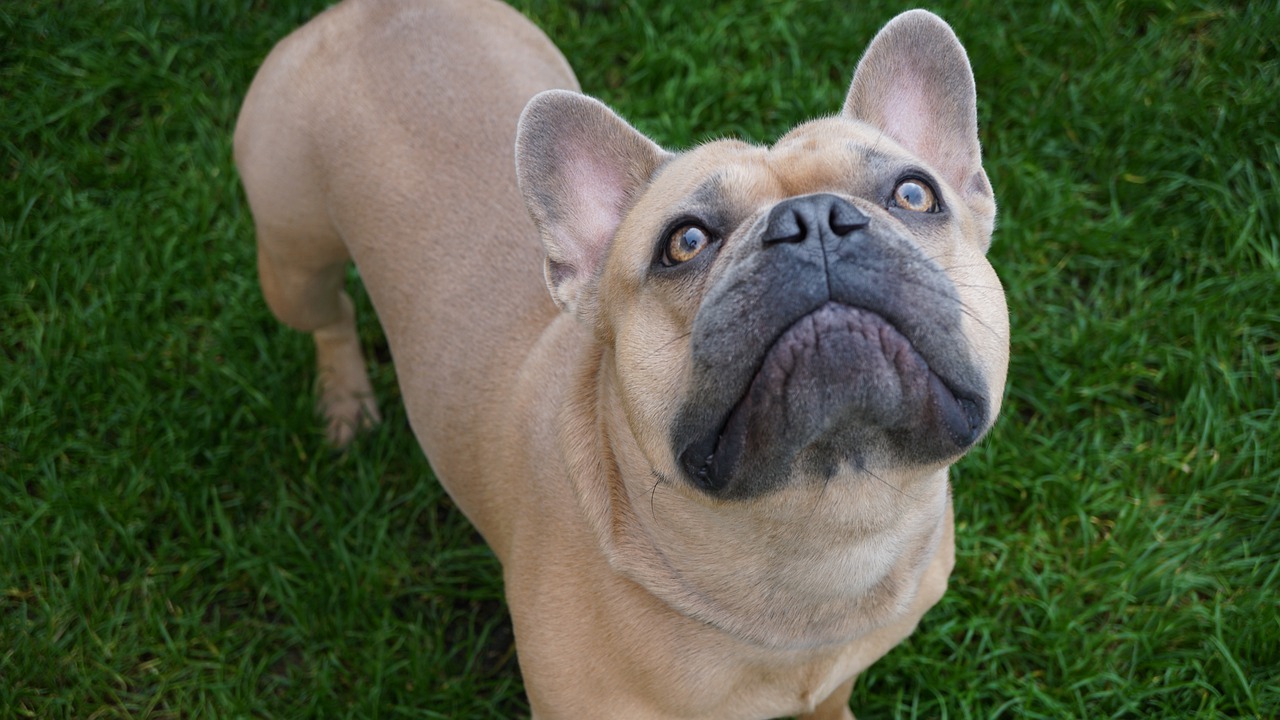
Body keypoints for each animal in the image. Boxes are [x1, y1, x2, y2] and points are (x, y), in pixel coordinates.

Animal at [232, 2, 1008, 712]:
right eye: (685, 242)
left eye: (914, 193)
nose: (812, 217)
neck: (823, 529)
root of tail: (372, 11)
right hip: (292, 261)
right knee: (329, 317)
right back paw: (345, 403)